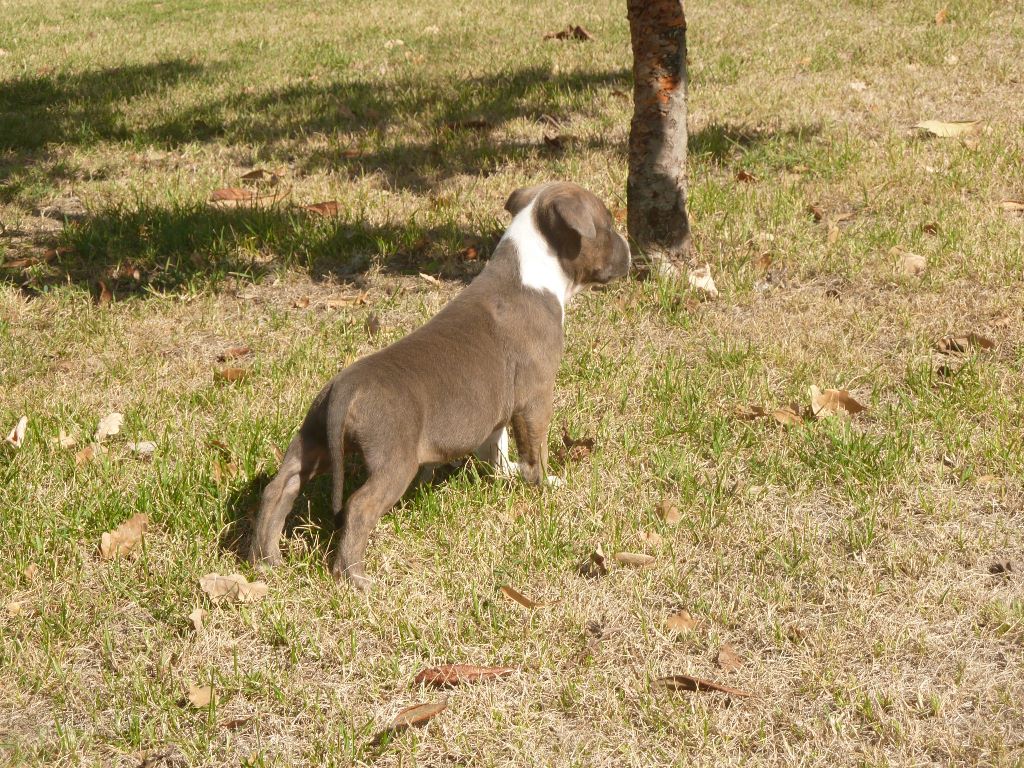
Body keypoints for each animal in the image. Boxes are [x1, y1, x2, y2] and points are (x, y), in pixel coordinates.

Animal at [248, 181, 631, 589]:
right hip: (394, 459)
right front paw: (543, 481)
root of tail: (345, 389)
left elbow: (496, 444)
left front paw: (505, 473)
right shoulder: (535, 396)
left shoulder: (497, 408)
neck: (532, 268)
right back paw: (355, 577)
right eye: (607, 225)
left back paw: (265, 560)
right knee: (359, 506)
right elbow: (534, 447)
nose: (629, 249)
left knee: (280, 486)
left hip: (313, 436)